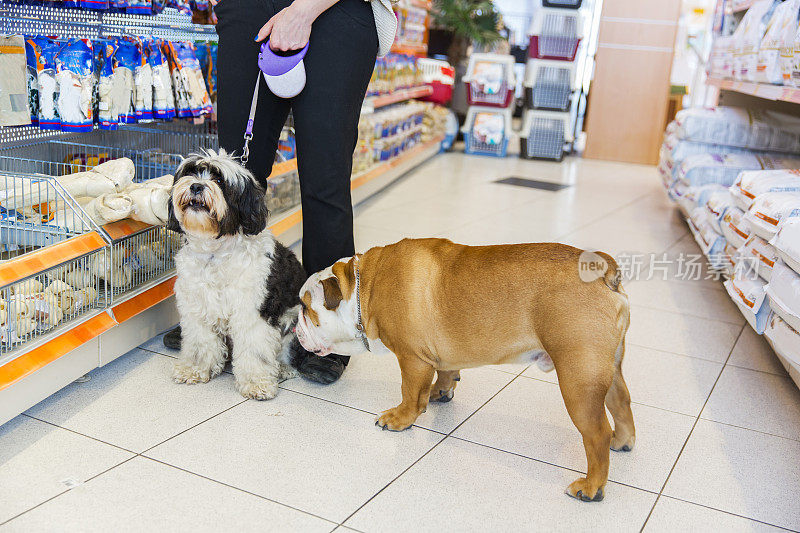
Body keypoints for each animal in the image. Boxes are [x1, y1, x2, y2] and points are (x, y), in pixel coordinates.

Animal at [169, 148, 306, 396]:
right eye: (191, 172)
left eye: (219, 181)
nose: (196, 186)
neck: (215, 254)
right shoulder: (196, 306)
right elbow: (199, 343)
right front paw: (194, 368)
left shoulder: (252, 311)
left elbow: (255, 351)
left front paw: (256, 382)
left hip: (297, 323)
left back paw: (282, 367)